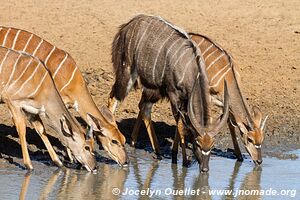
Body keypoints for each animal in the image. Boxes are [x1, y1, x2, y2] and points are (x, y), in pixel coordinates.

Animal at [108, 14, 230, 172]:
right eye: (197, 143)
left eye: (212, 145)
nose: (204, 169)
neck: (190, 67)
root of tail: (127, 26)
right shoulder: (173, 94)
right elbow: (180, 124)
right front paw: (182, 160)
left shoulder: (185, 100)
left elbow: (181, 123)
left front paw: (174, 155)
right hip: (127, 72)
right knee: (114, 97)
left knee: (144, 108)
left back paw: (158, 152)